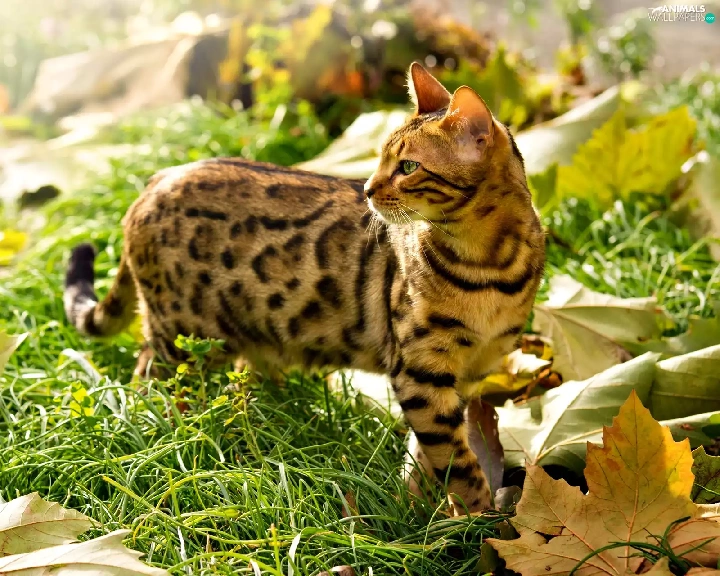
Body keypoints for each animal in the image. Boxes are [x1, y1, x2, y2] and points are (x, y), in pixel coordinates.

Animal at [64, 63, 545, 515]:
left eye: (408, 167)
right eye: (380, 160)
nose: (366, 189)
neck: (489, 266)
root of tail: (153, 181)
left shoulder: (469, 372)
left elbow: (428, 454)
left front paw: (420, 509)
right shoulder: (420, 370)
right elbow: (455, 460)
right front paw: (477, 519)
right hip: (184, 336)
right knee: (146, 378)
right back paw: (164, 431)